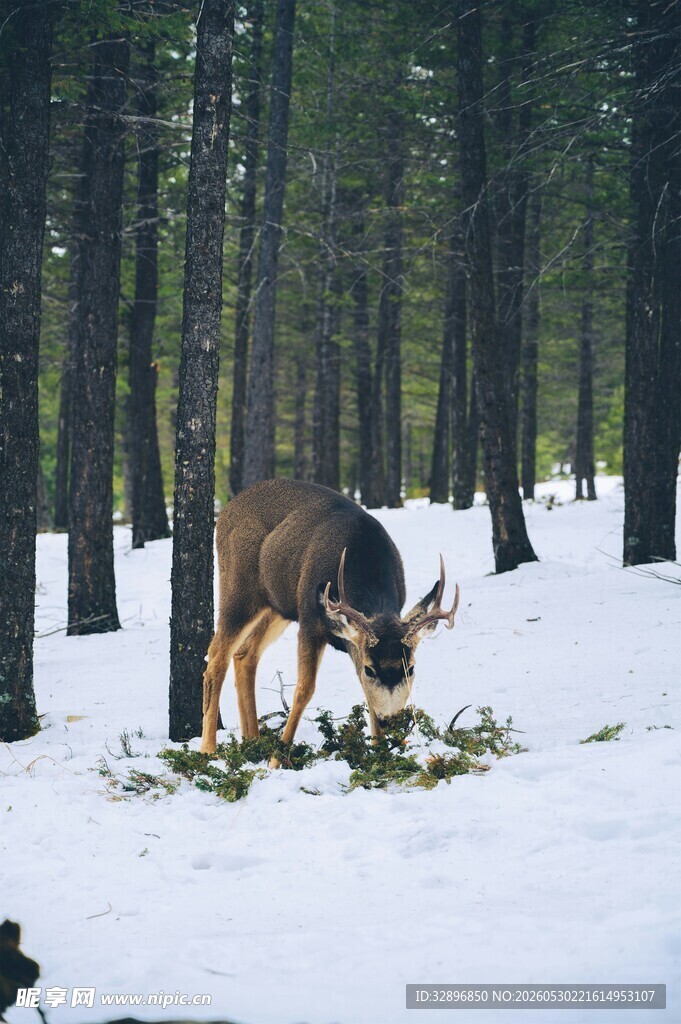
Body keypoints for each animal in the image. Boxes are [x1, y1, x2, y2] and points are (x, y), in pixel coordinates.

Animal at [200, 479, 460, 767]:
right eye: (371, 669)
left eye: (410, 668)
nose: (391, 722)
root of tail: (226, 509)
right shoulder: (310, 620)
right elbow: (304, 689)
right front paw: (277, 759)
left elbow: (365, 692)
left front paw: (381, 752)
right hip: (239, 588)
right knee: (217, 656)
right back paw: (208, 750)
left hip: (277, 606)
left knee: (246, 654)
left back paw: (252, 741)